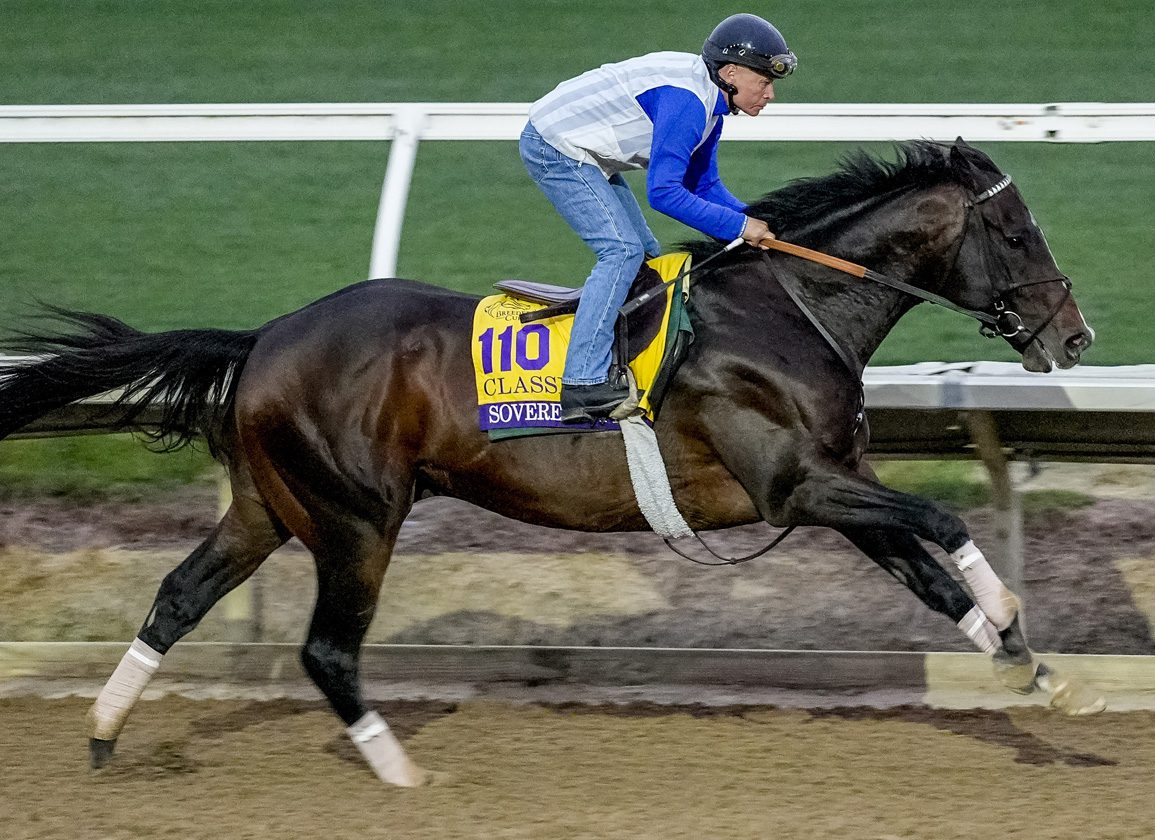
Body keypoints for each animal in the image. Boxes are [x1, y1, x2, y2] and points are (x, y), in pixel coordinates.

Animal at [0, 138, 1102, 787]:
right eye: (1016, 231)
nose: (1074, 336)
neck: (788, 309)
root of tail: (264, 336)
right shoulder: (796, 487)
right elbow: (946, 523)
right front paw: (1019, 629)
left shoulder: (832, 488)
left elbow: (931, 574)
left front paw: (1043, 675)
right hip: (356, 518)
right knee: (326, 651)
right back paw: (398, 772)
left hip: (269, 508)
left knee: (177, 597)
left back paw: (103, 733)